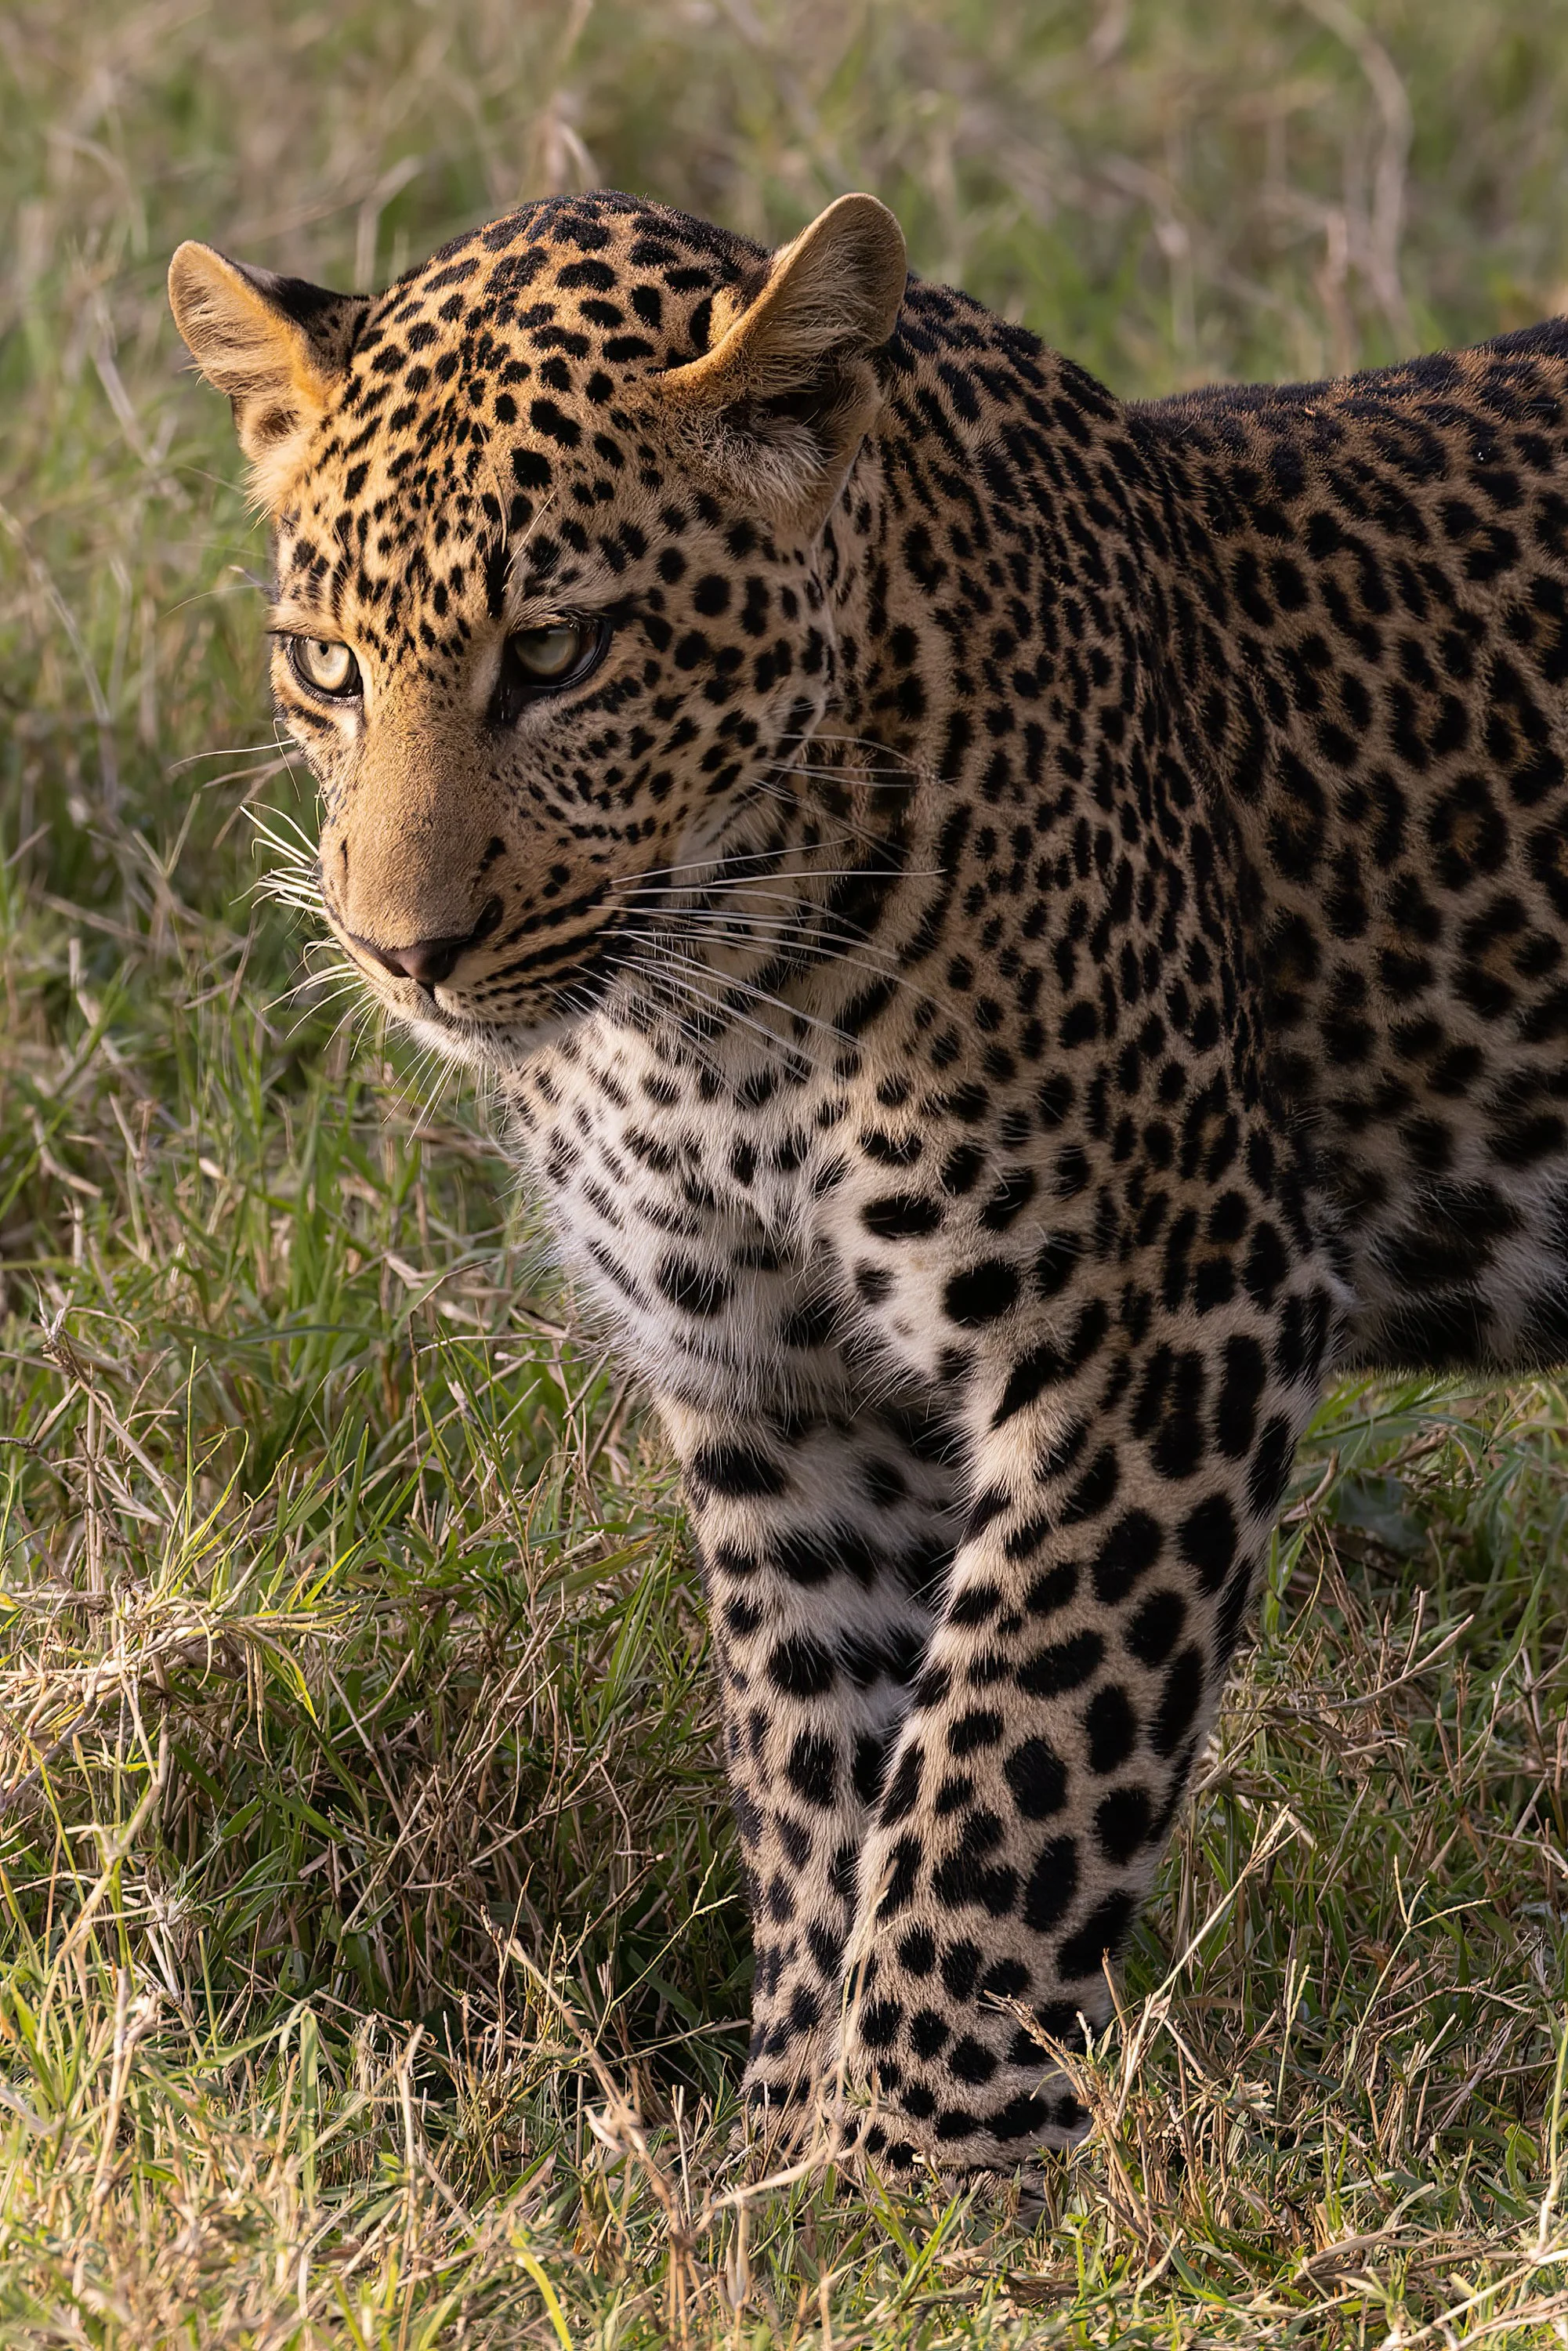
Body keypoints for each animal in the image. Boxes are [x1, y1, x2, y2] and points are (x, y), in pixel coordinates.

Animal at [168, 185, 1568, 2180]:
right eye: (325, 666)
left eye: (561, 652)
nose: (399, 953)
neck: (710, 1006)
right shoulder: (778, 1392)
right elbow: (823, 1772)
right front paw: (780, 2162)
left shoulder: (1161, 1321)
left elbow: (1006, 1765)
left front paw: (908, 2165)